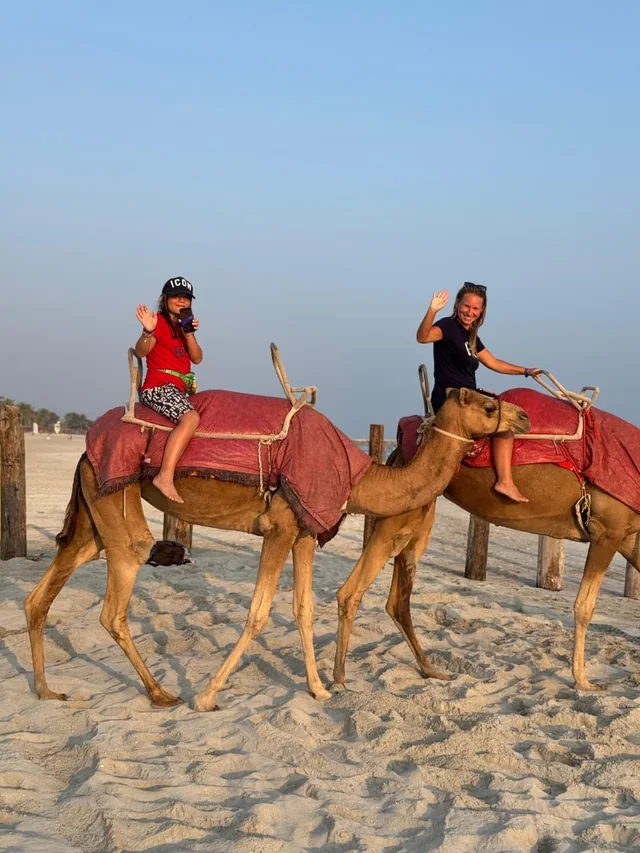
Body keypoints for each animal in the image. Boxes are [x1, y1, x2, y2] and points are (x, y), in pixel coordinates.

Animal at [24, 388, 528, 711]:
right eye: (490, 405)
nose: (522, 418)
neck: (358, 475)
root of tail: (87, 445)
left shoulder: (303, 533)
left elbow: (304, 607)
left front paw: (320, 690)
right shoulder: (279, 528)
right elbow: (258, 613)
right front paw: (208, 695)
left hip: (93, 509)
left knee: (43, 591)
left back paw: (47, 690)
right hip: (115, 496)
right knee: (118, 592)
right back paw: (162, 694)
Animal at [333, 422, 640, 694]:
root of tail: (395, 452)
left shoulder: (628, 537)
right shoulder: (607, 531)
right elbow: (584, 607)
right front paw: (584, 681)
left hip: (418, 515)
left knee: (398, 597)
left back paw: (430, 669)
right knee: (352, 591)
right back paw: (339, 681)